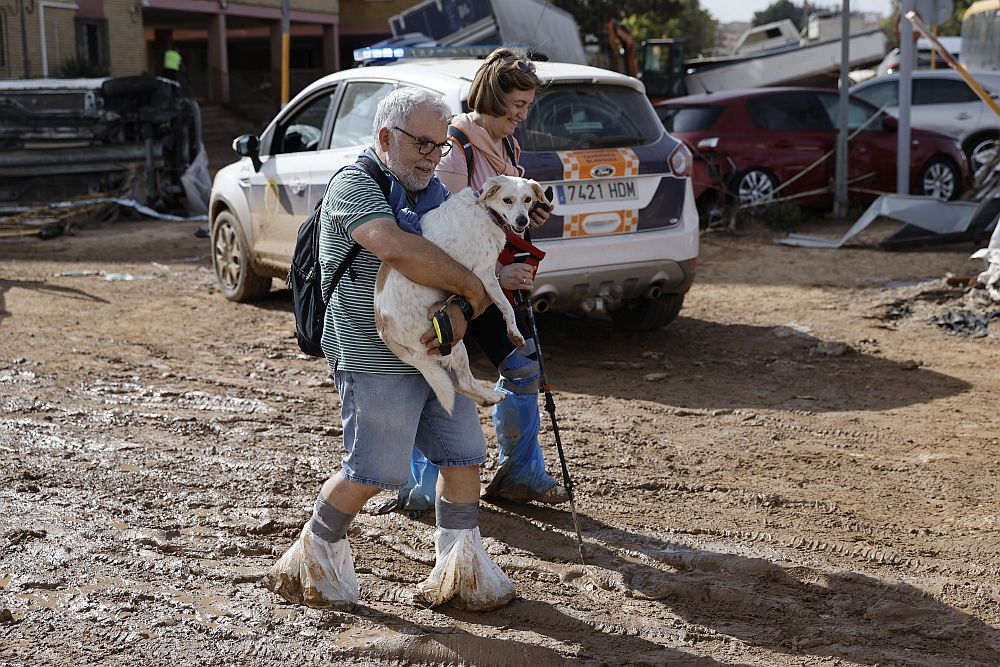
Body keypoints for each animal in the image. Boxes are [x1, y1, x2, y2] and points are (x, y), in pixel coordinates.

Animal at [374, 175, 552, 412]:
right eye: (507, 200)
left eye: (528, 199)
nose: (523, 221)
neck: (486, 210)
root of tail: (384, 329)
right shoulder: (484, 273)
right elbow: (507, 307)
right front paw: (514, 333)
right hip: (452, 339)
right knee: (464, 382)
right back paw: (492, 396)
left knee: (457, 385)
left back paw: (487, 398)